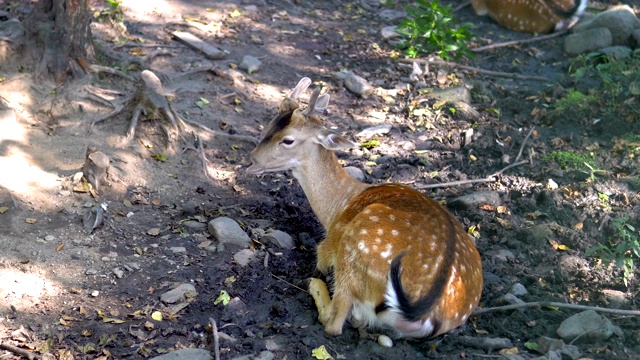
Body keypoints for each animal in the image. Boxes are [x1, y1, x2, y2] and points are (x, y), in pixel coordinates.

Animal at [248, 77, 482, 338]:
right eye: (270, 124)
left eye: (288, 140)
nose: (250, 161)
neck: (339, 206)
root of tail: (422, 312)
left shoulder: (328, 246)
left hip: (354, 251)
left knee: (335, 321)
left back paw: (315, 285)